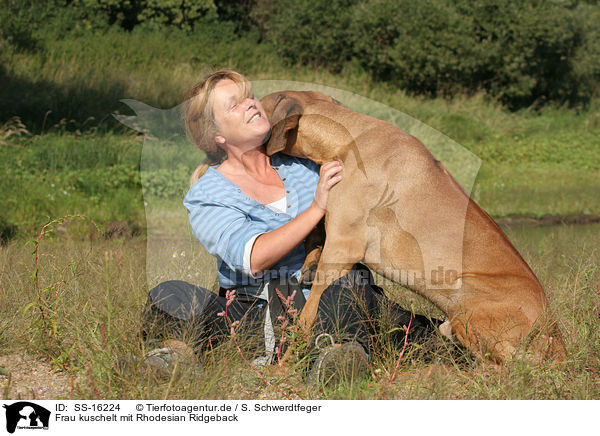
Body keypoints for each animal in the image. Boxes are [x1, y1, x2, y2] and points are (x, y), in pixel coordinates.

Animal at [262, 90, 568, 362]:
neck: (346, 140)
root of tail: (555, 337)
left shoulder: (342, 248)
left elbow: (308, 316)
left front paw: (284, 366)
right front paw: (309, 262)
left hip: (467, 301)